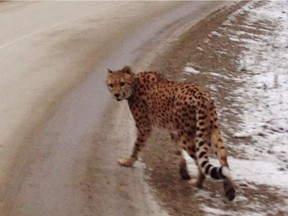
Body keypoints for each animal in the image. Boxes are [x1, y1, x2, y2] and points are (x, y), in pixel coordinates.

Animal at [106, 66, 236, 201]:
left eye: (122, 83)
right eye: (111, 84)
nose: (116, 94)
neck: (134, 84)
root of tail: (200, 94)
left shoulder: (144, 127)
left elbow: (136, 147)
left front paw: (128, 162)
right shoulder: (173, 130)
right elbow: (178, 151)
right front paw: (183, 172)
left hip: (188, 135)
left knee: (200, 159)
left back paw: (198, 182)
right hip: (213, 131)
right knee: (223, 159)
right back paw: (230, 191)